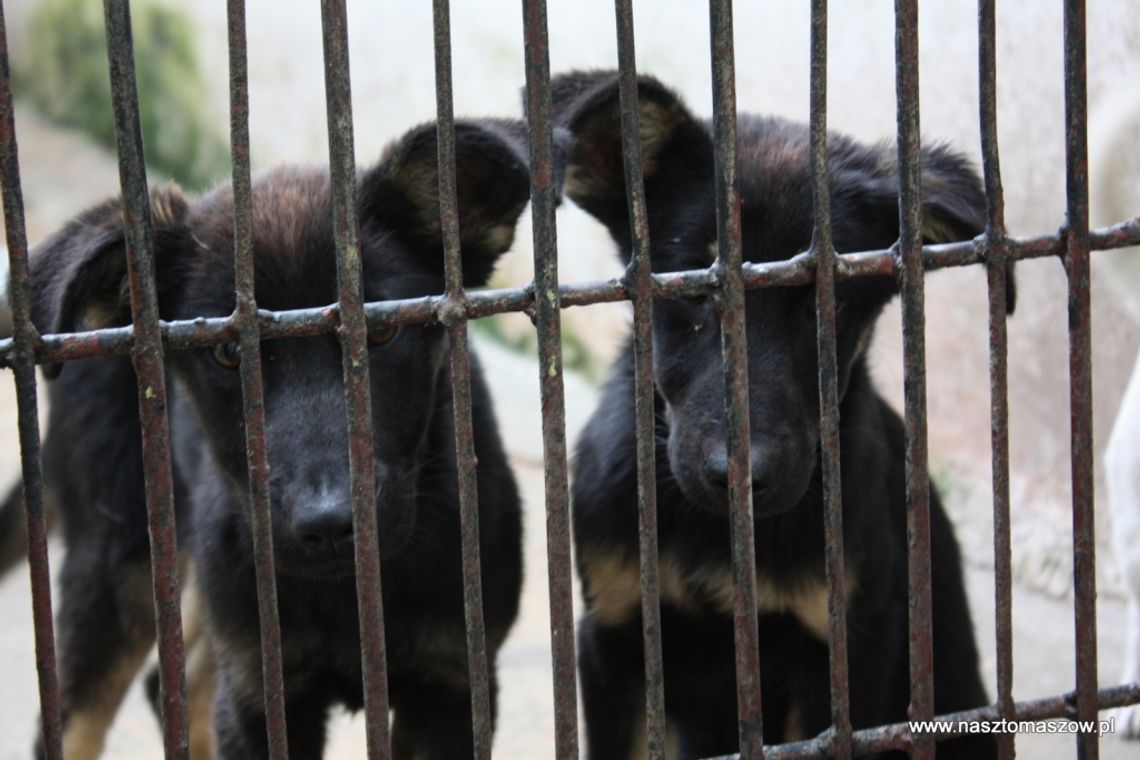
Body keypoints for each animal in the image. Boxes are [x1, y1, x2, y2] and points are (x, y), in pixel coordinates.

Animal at [11, 119, 531, 756]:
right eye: (229, 353)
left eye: (381, 331)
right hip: (118, 558)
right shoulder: (262, 690)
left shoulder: (452, 684)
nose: (328, 525)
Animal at [556, 72, 1003, 760]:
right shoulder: (611, 639)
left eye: (831, 303)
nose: (741, 475)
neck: (712, 534)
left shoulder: (841, 659)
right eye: (691, 287)